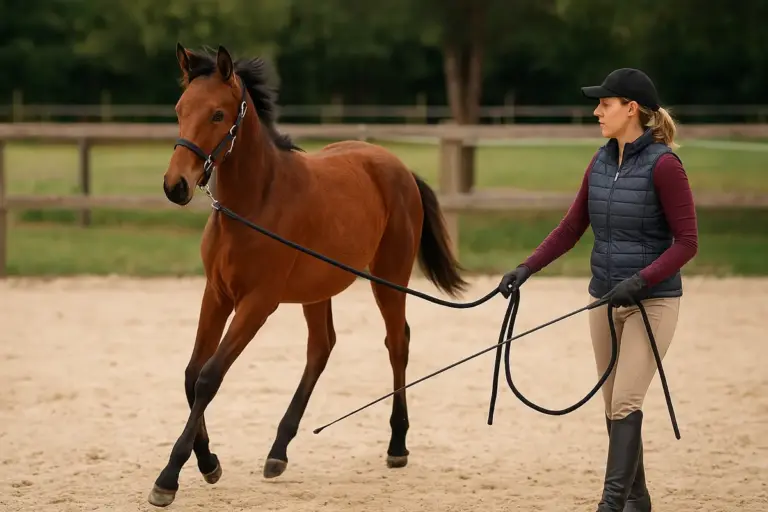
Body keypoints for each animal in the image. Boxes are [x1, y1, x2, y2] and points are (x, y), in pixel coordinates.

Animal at [148, 43, 468, 507]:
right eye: (179, 109)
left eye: (218, 114)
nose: (176, 186)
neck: (253, 204)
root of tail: (398, 167)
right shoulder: (217, 294)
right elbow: (193, 374)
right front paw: (208, 463)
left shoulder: (257, 303)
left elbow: (210, 376)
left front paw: (169, 477)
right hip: (318, 289)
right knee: (321, 347)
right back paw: (278, 451)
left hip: (389, 277)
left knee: (397, 343)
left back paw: (397, 446)